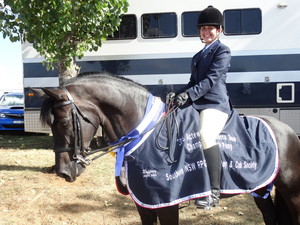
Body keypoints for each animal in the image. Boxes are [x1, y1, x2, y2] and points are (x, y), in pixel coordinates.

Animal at [34, 74, 300, 225]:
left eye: (64, 122)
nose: (63, 172)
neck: (146, 135)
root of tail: (287, 130)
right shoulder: (145, 204)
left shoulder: (167, 204)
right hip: (261, 189)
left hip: (292, 193)